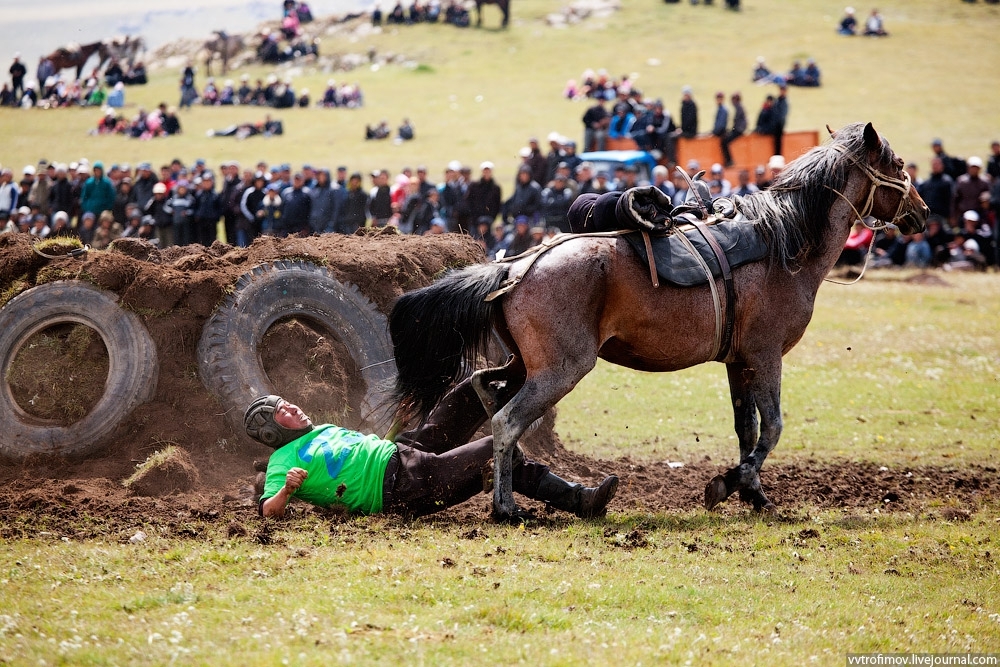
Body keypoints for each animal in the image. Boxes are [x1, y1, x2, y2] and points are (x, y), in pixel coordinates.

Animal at [388, 124, 928, 520]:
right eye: (899, 166)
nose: (922, 213)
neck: (783, 246)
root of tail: (517, 266)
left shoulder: (738, 362)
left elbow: (746, 430)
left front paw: (749, 493)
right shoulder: (766, 355)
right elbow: (772, 428)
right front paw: (732, 486)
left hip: (524, 365)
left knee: (486, 387)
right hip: (560, 369)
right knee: (505, 421)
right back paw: (506, 509)